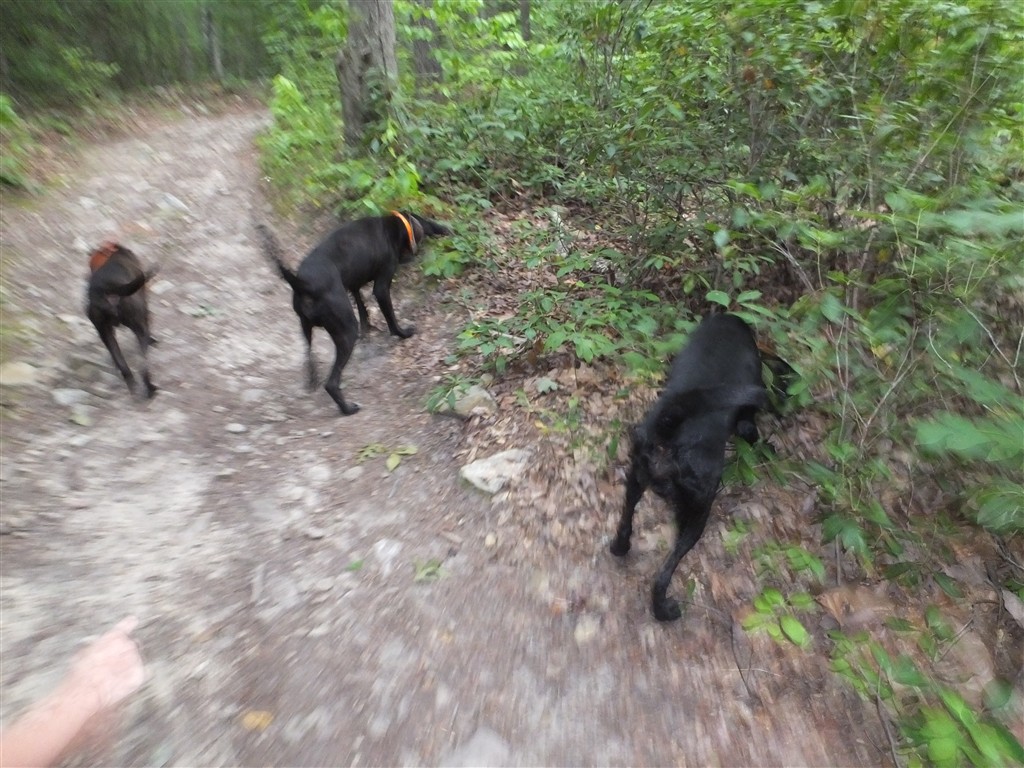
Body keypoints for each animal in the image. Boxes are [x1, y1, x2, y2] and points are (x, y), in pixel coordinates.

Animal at [85, 241, 158, 398]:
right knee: (143, 366)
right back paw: (151, 390)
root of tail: (106, 288)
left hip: (105, 332)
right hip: (139, 325)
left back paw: (134, 390)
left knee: (123, 366)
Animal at [256, 211, 451, 415]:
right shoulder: (381, 286)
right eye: (427, 221)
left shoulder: (353, 286)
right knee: (332, 383)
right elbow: (390, 318)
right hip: (347, 330)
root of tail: (303, 285)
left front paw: (368, 333)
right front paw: (403, 333)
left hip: (306, 328)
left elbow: (363, 310)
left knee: (309, 358)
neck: (391, 226)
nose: (445, 229)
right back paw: (347, 408)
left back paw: (312, 380)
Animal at [610, 313, 771, 621]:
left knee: (625, 520)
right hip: (698, 513)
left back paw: (619, 548)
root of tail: (669, 438)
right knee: (663, 574)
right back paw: (664, 610)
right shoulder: (747, 419)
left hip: (636, 479)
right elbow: (752, 432)